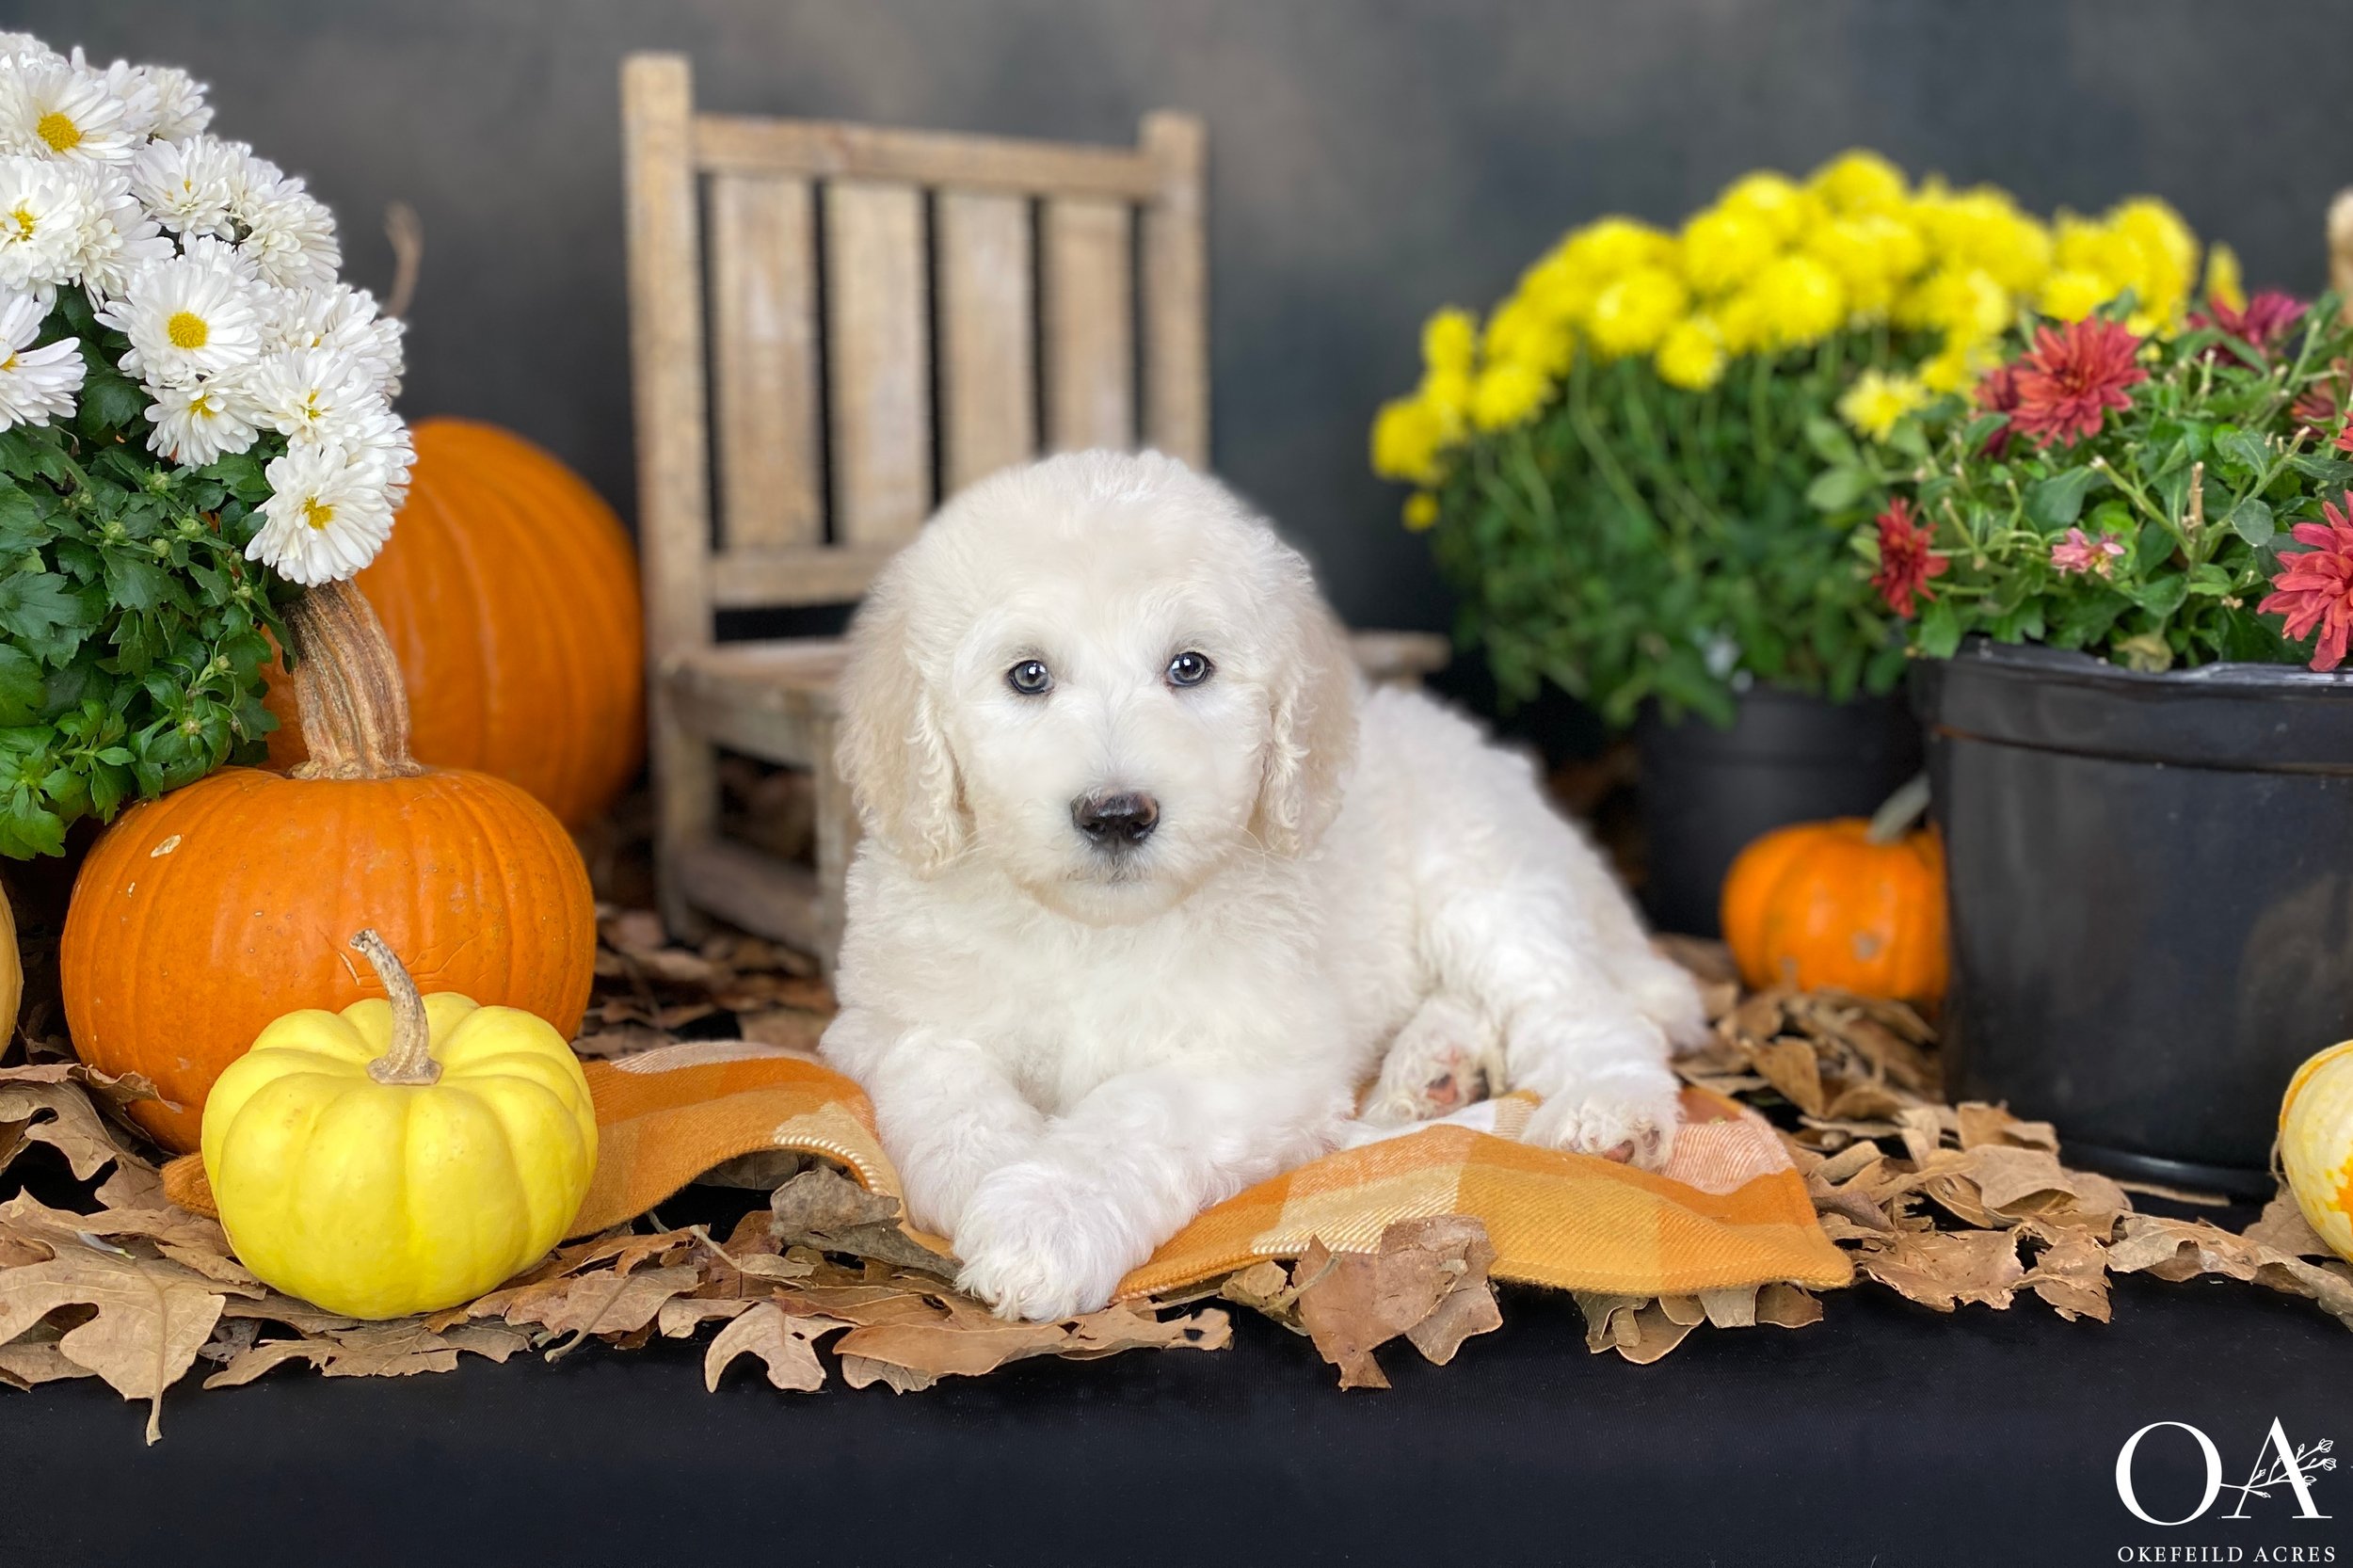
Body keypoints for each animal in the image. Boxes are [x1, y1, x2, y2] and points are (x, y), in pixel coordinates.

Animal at [828, 449, 1713, 1318]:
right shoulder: (892, 1020)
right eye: (1028, 676)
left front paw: (1046, 1217)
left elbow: (1136, 1116)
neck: (1094, 930)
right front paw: (992, 1176)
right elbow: (944, 1087)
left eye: (1189, 667)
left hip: (1486, 889)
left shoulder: (1261, 1057)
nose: (1116, 814)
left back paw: (1608, 1110)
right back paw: (1433, 1071)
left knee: (1583, 1009)